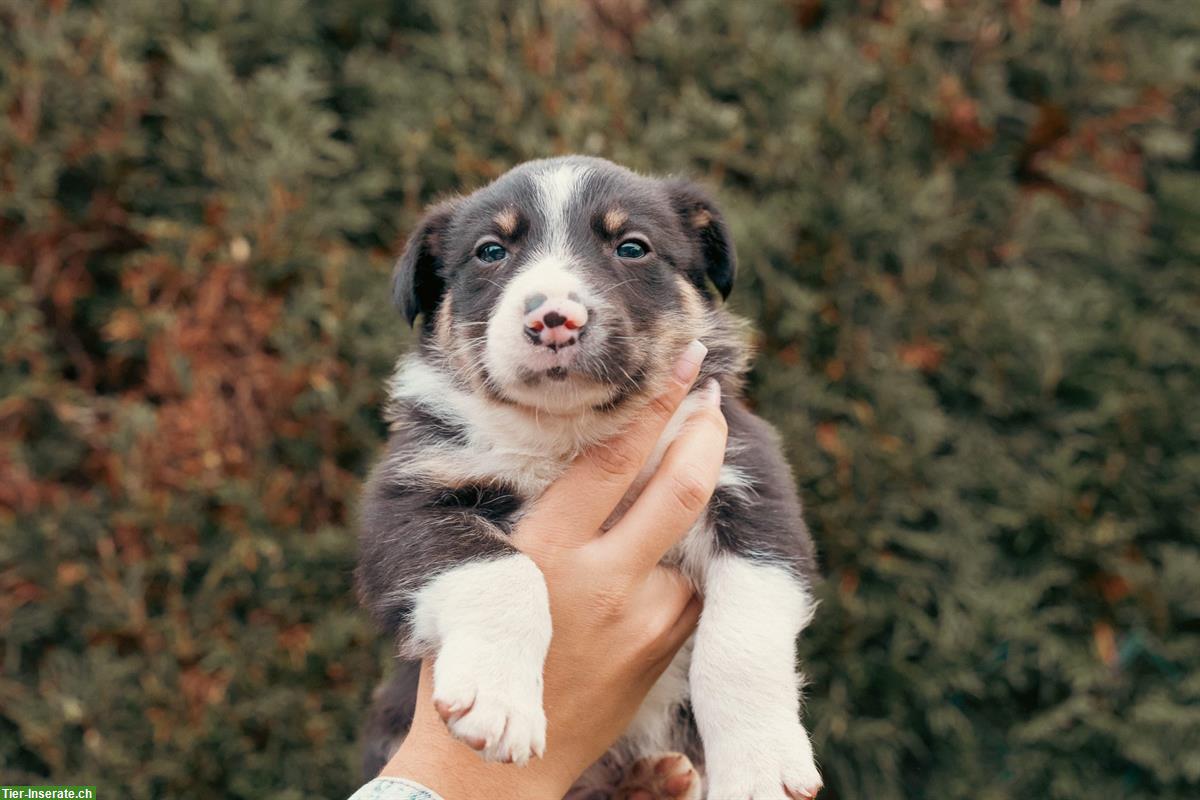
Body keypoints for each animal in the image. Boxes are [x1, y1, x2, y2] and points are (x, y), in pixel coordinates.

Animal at [355, 155, 820, 800]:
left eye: (631, 247)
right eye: (491, 251)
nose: (554, 318)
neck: (570, 432)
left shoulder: (749, 481)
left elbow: (742, 637)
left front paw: (761, 765)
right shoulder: (409, 494)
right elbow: (499, 571)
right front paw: (497, 702)